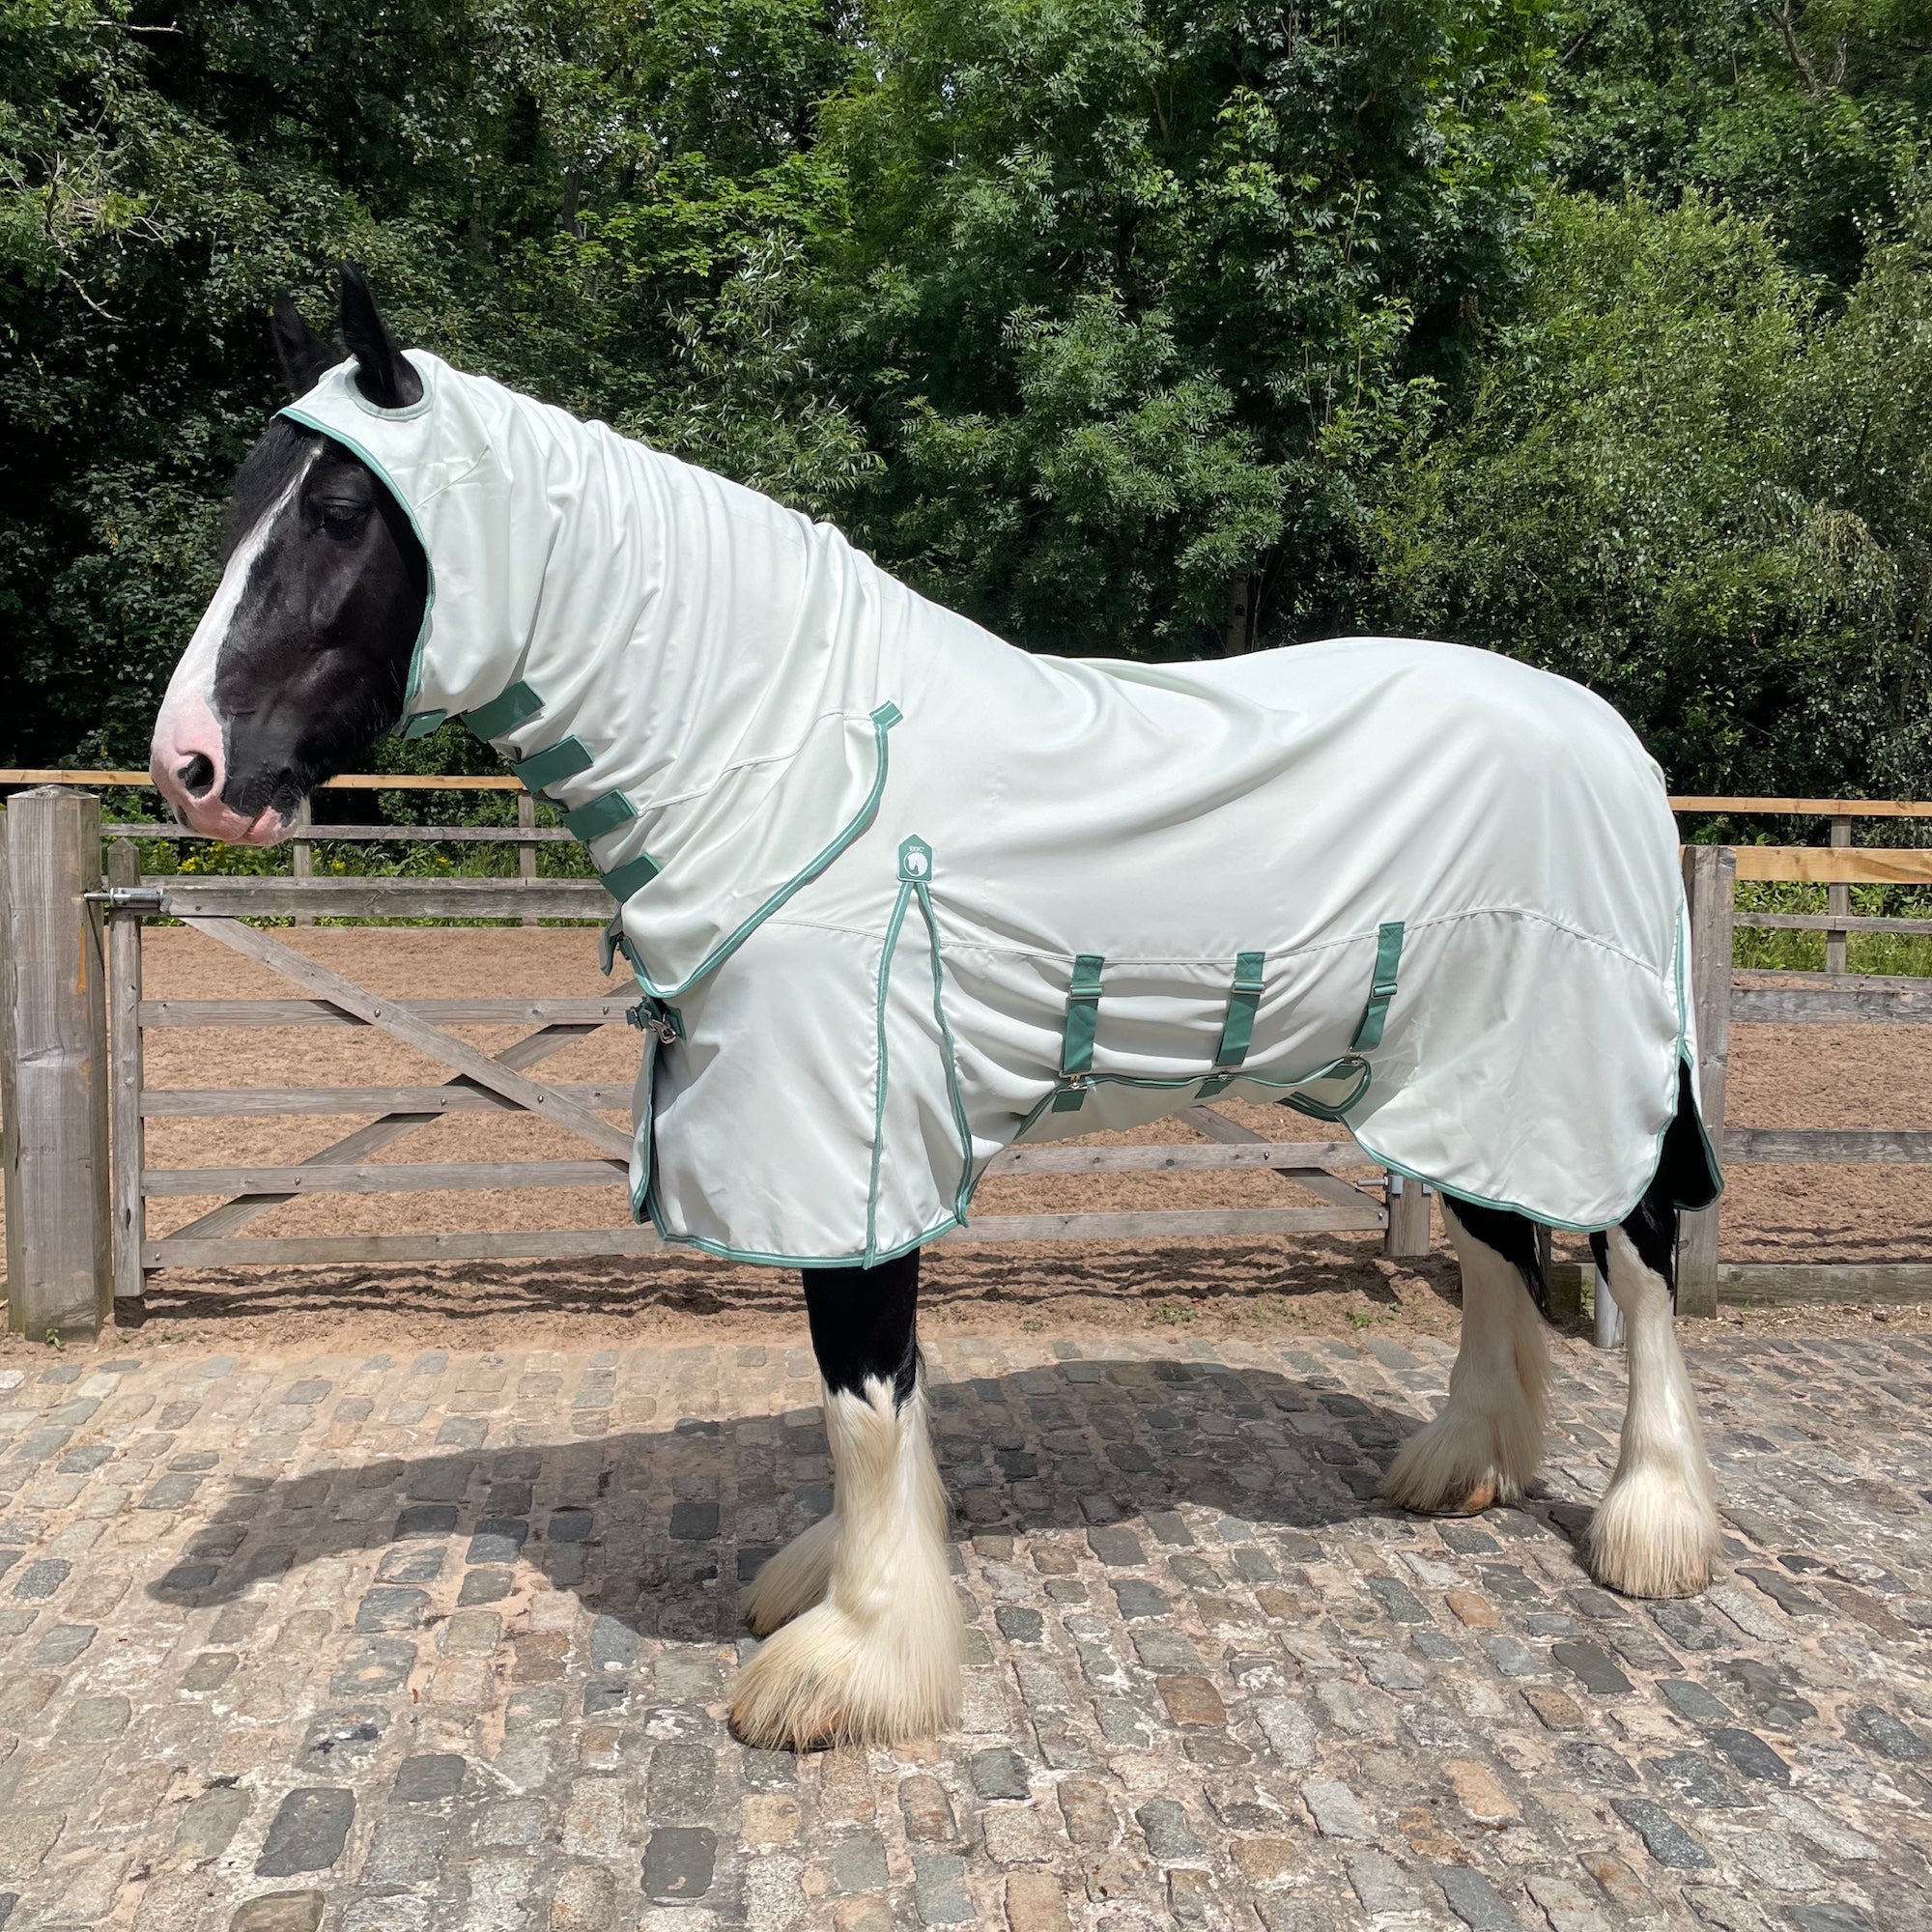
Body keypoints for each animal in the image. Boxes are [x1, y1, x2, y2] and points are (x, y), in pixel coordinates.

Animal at [150, 265, 1724, 1752]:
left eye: (338, 510)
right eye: (235, 510)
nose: (191, 767)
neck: (785, 753)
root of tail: (1610, 737)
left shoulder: (848, 1137)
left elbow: (859, 1392)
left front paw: (854, 1660)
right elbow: (890, 1391)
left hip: (1576, 1071)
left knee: (1637, 1252)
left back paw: (1649, 1520)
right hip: (1457, 1079)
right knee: (1501, 1248)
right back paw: (1469, 1464)